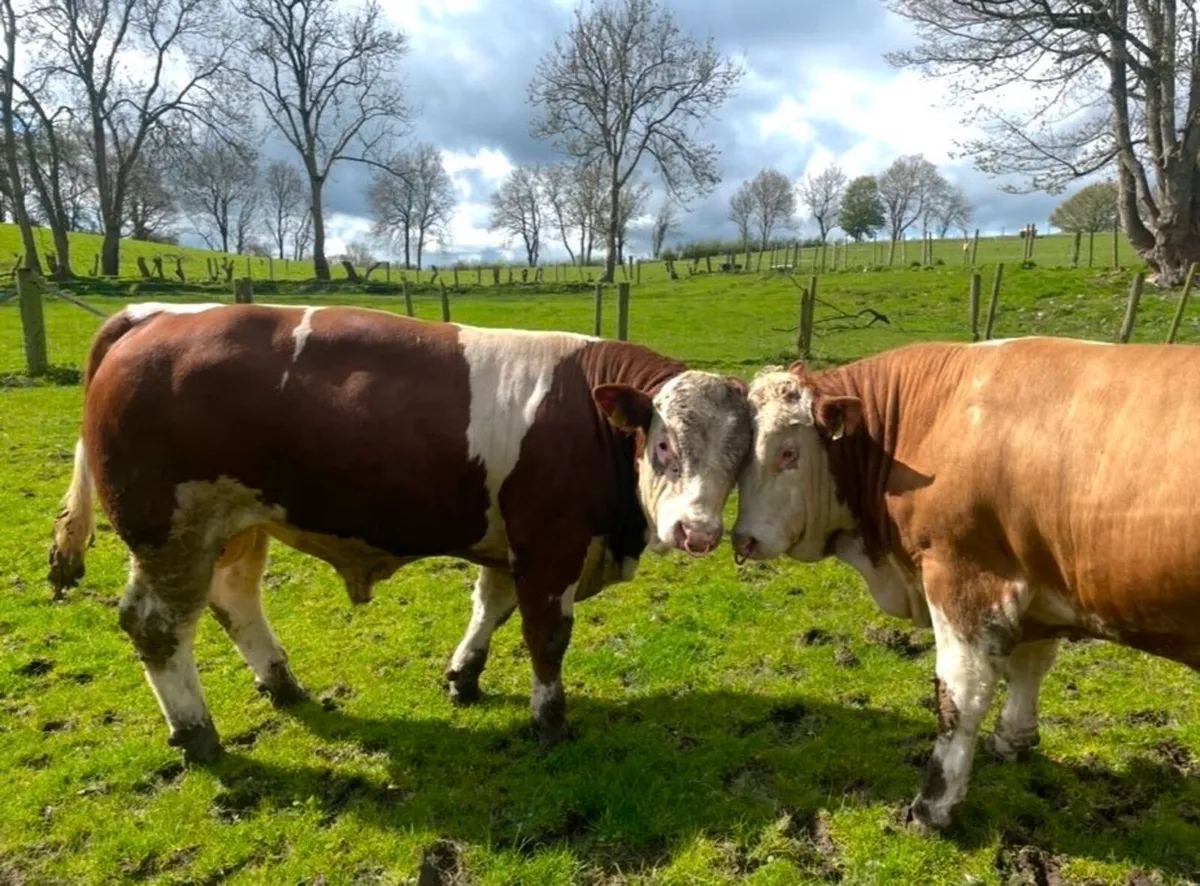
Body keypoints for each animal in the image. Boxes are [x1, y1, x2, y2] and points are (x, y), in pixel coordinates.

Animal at [48, 302, 753, 764]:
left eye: (742, 457)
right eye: (663, 444)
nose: (697, 531)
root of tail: (156, 316)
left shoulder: (508, 543)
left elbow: (490, 606)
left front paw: (464, 677)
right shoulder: (551, 545)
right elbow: (546, 635)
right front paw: (549, 720)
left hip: (238, 522)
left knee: (235, 598)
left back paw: (282, 685)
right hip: (170, 530)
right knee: (157, 627)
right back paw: (199, 735)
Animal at [730, 336, 1200, 832]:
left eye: (787, 453)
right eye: (740, 454)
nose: (743, 538)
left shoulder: (963, 574)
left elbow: (961, 694)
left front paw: (933, 806)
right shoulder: (1036, 576)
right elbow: (1032, 663)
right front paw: (1014, 739)